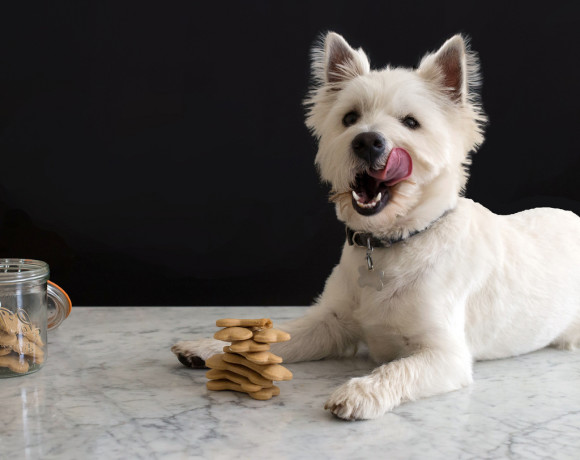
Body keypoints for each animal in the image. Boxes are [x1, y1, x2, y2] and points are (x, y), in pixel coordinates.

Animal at [174, 32, 580, 420]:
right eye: (349, 118)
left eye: (412, 122)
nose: (368, 141)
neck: (391, 242)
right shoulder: (331, 321)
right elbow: (279, 335)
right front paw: (211, 346)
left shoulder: (444, 355)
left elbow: (398, 369)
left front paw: (358, 392)